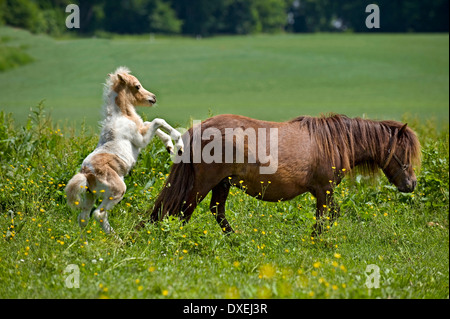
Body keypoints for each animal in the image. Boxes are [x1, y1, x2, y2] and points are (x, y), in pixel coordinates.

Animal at [64, 66, 183, 239]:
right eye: (137, 86)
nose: (153, 98)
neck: (122, 116)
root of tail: (86, 173)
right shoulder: (140, 139)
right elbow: (157, 121)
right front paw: (178, 143)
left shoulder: (141, 131)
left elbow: (150, 122)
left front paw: (169, 146)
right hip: (117, 191)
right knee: (99, 214)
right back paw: (117, 239)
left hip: (90, 196)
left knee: (83, 217)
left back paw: (85, 242)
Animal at [146, 114, 420, 236]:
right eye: (403, 152)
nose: (411, 184)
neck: (334, 141)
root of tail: (199, 128)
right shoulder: (324, 190)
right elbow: (326, 217)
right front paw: (314, 240)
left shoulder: (323, 192)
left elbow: (330, 215)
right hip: (204, 183)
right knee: (185, 210)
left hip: (222, 183)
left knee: (216, 211)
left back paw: (235, 240)